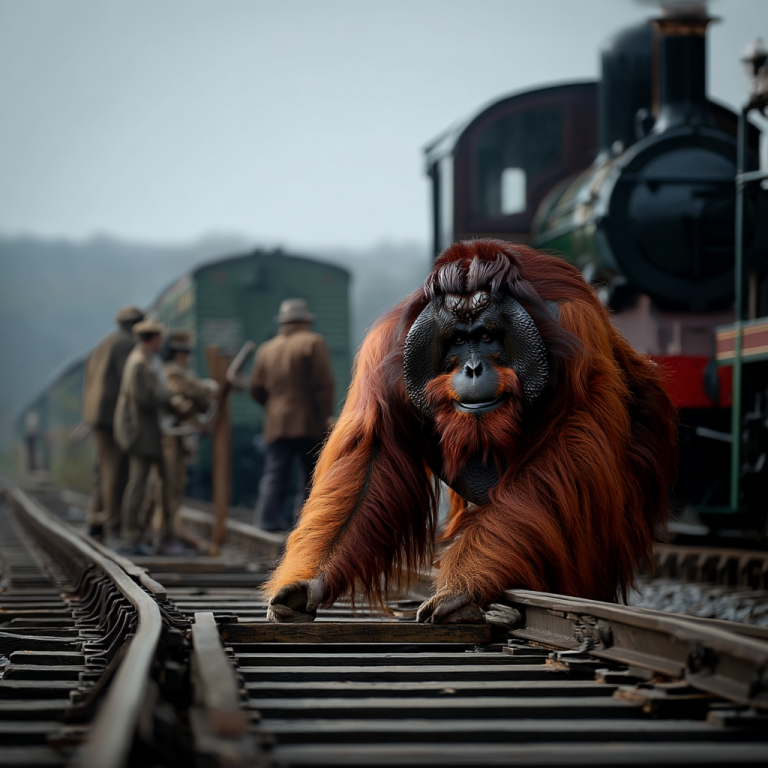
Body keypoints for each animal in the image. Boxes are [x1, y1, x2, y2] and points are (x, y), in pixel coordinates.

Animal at [264, 239, 677, 624]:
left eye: (488, 337)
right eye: (459, 341)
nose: (474, 368)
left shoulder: (578, 334)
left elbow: (567, 452)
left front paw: (461, 591)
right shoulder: (387, 348)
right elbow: (370, 460)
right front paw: (310, 583)